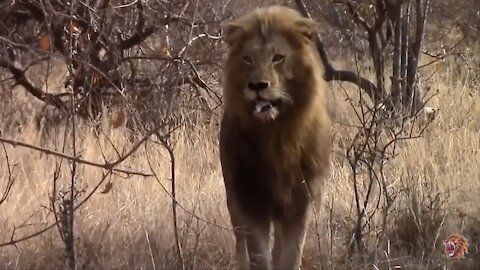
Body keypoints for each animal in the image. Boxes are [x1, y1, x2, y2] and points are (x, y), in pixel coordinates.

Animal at [219, 4, 332, 270]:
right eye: (248, 59)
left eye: (278, 58)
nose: (257, 86)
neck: (276, 134)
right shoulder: (250, 199)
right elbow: (258, 255)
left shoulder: (300, 202)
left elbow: (289, 255)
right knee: (240, 244)